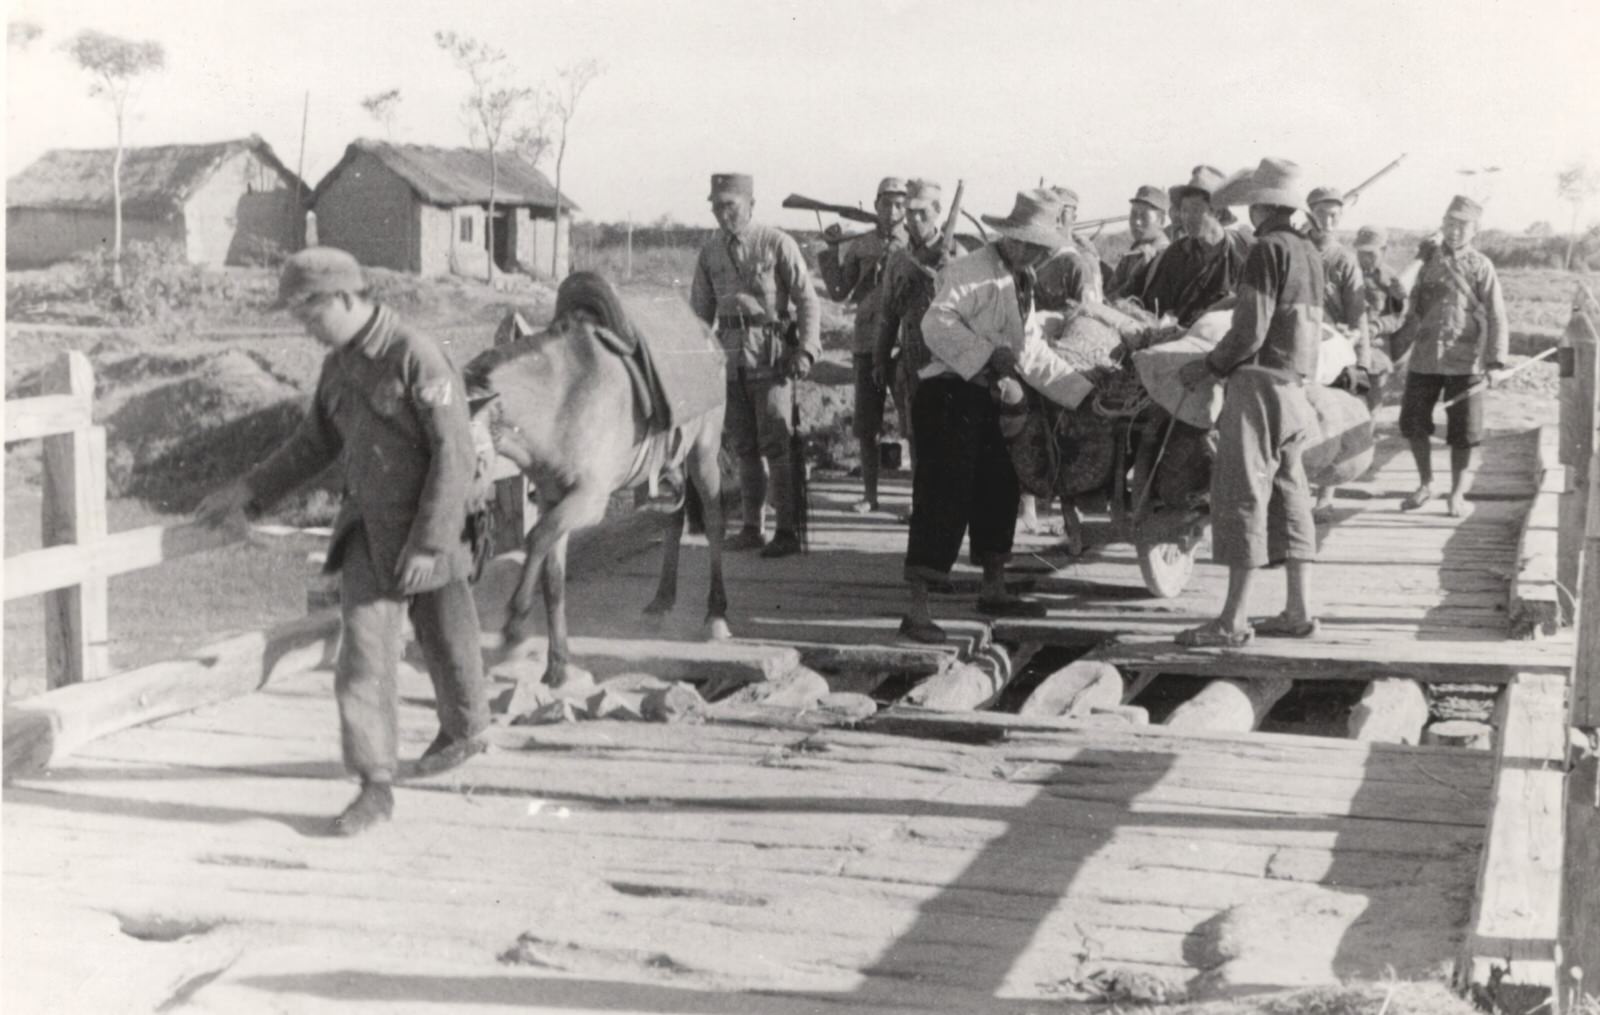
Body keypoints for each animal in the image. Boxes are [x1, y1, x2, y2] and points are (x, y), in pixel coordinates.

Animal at [464, 270, 732, 688]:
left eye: (474, 459)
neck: (560, 402)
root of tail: (708, 334)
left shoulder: (589, 500)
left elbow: (535, 540)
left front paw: (514, 632)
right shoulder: (553, 499)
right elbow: (553, 576)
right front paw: (558, 665)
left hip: (703, 451)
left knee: (715, 520)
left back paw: (716, 615)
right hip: (671, 463)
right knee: (674, 518)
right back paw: (661, 601)